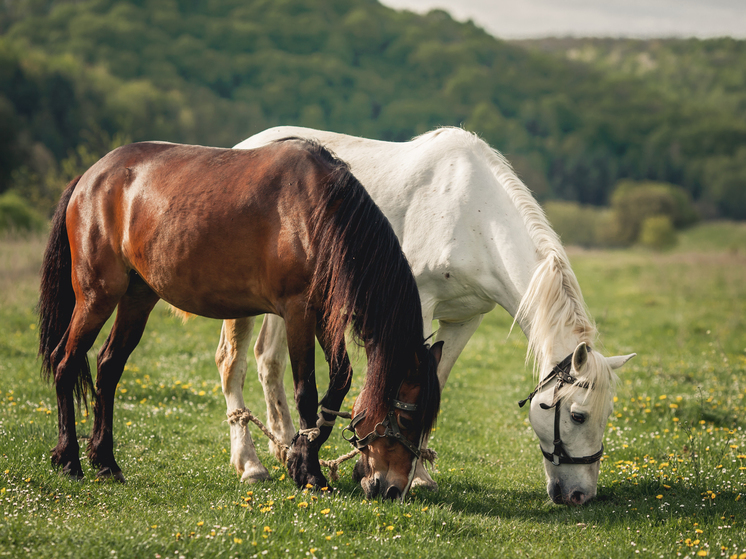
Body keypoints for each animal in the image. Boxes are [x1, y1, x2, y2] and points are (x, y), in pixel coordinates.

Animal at [36, 140, 436, 498]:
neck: (319, 212)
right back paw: (69, 460)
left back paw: (105, 462)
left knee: (108, 367)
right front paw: (310, 473)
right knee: (65, 362)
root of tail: (90, 177)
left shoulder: (323, 315)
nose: (393, 490)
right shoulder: (298, 313)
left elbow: (338, 383)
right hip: (97, 296)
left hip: (137, 298)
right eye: (406, 419)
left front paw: (299, 457)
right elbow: (307, 393)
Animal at [217, 127, 632, 508]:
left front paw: (414, 471)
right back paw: (250, 464)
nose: (580, 495)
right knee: (232, 363)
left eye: (607, 413)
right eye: (578, 416)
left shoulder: (465, 320)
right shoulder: (418, 308)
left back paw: (286, 446)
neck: (475, 218)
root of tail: (244, 147)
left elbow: (436, 382)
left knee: (268, 361)